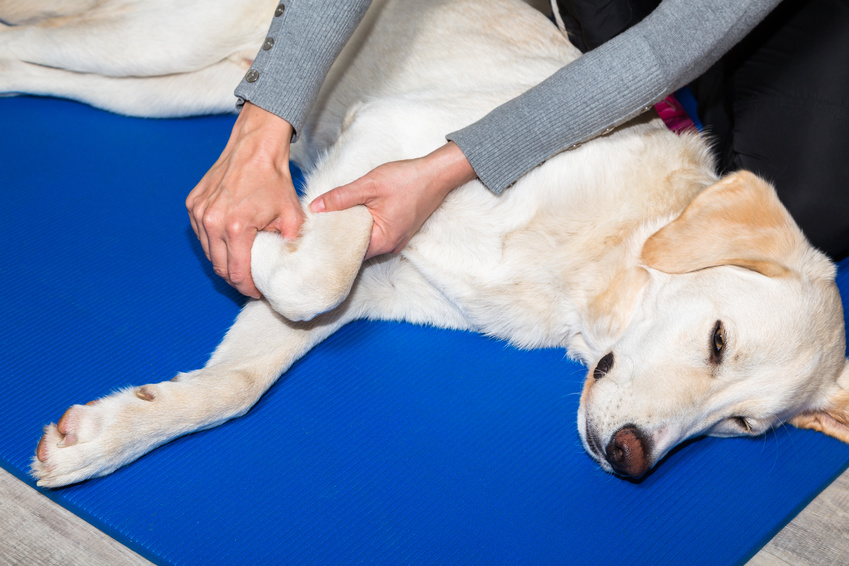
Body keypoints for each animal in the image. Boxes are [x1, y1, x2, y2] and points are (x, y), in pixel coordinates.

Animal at [3, 0, 844, 488]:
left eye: (743, 427)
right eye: (717, 340)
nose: (630, 460)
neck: (584, 271)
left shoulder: (371, 287)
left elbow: (235, 386)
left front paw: (106, 436)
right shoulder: (389, 137)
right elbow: (314, 270)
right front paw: (272, 231)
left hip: (169, 88)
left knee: (27, 63)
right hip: (151, 43)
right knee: (29, 36)